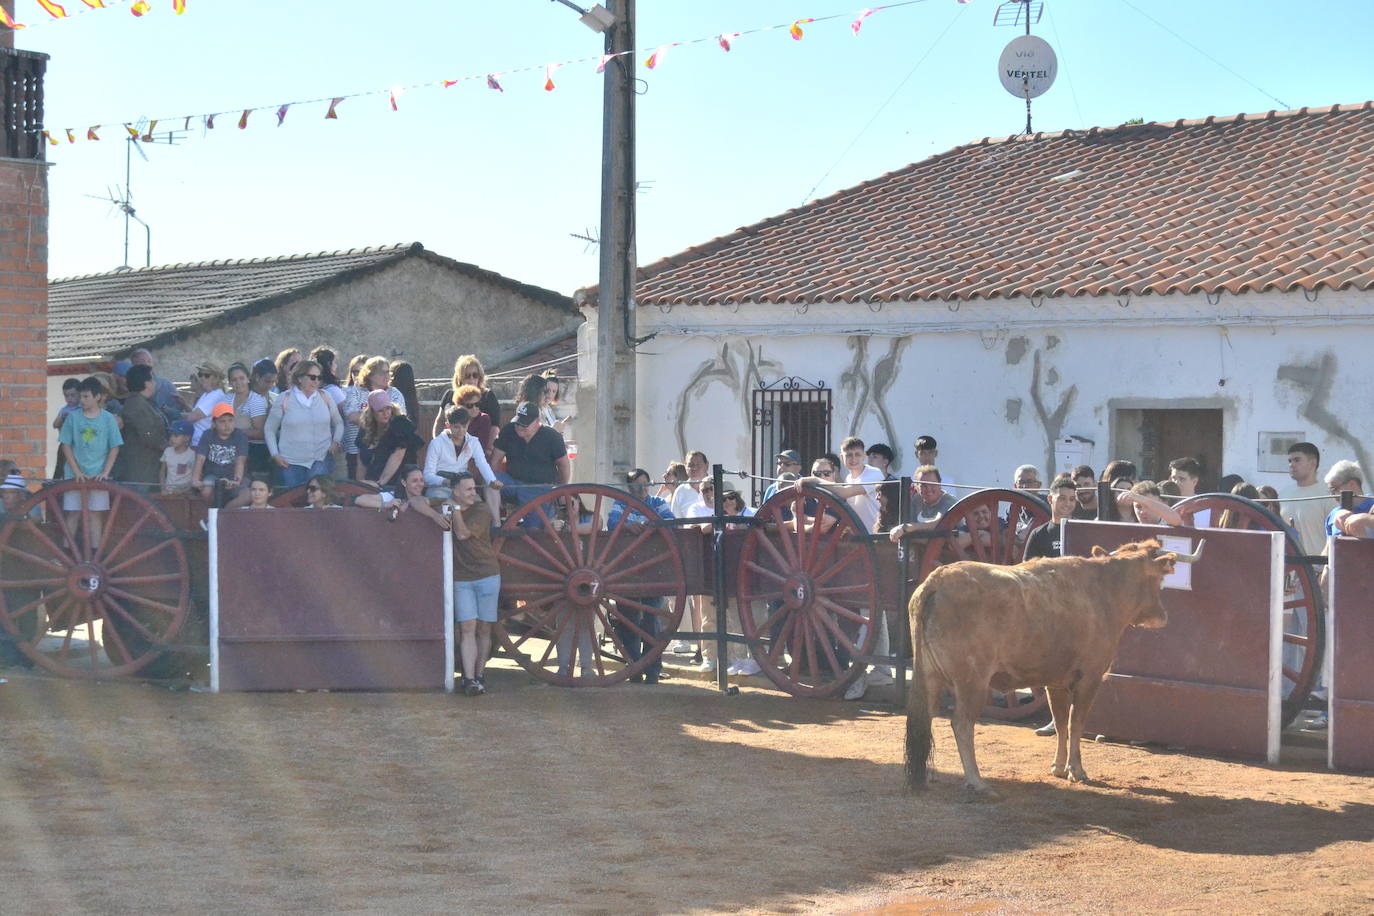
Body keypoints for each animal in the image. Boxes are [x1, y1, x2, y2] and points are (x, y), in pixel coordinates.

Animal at [906, 538, 1209, 796]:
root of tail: (937, 580)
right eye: (1159, 580)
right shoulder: (1090, 677)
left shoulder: (1055, 681)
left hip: (930, 677)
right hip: (972, 681)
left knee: (924, 719)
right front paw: (1077, 770)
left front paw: (1059, 767)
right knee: (961, 723)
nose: (1162, 616)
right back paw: (976, 781)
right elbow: (1076, 723)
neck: (1104, 590)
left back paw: (920, 778)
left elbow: (1061, 722)